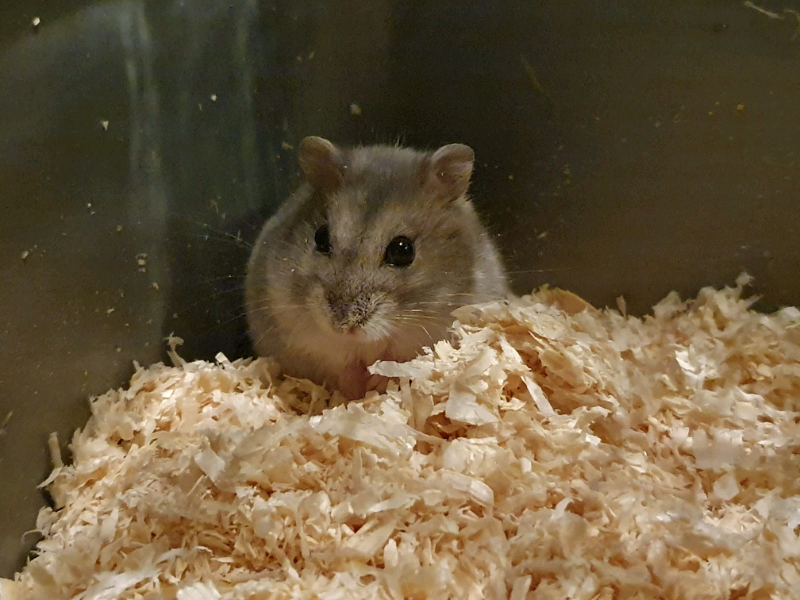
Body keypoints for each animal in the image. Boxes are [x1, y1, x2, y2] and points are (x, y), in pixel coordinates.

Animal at [245, 136, 509, 399]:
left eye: (403, 250)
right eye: (320, 237)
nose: (343, 326)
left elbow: (396, 363)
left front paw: (377, 383)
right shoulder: (305, 337)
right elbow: (341, 366)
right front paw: (357, 391)